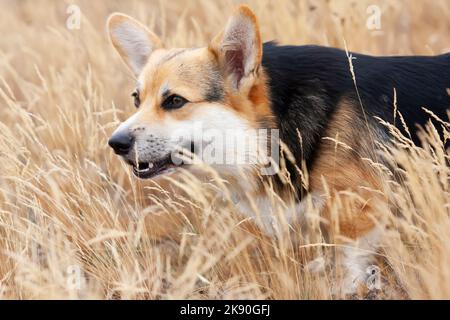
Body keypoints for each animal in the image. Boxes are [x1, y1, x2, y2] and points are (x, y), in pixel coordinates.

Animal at [106, 5, 450, 296]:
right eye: (137, 99)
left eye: (175, 101)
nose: (116, 143)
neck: (273, 128)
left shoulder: (358, 219)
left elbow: (348, 277)